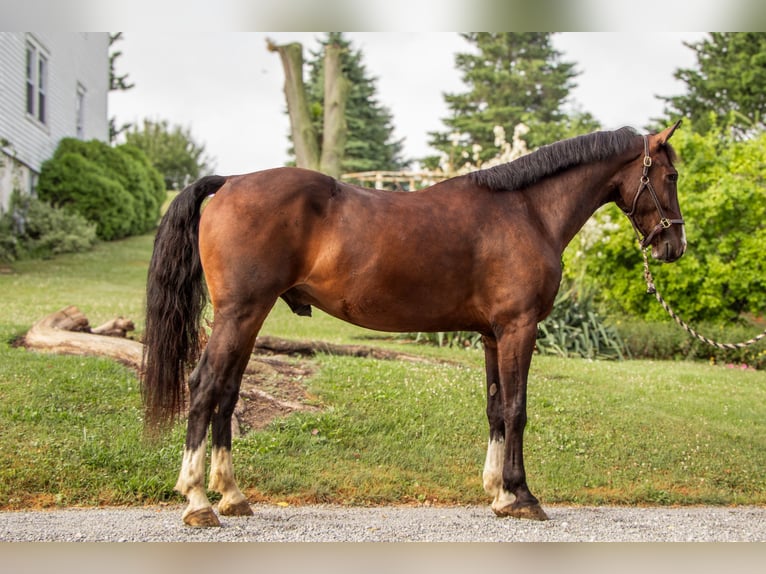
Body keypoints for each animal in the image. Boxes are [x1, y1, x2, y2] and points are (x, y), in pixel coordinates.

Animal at [141, 124, 688, 528]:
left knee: (227, 392)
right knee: (204, 385)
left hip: (249, 317)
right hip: (240, 313)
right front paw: (523, 496)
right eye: (672, 175)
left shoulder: (492, 335)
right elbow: (516, 409)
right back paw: (198, 501)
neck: (527, 211)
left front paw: (498, 495)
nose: (674, 246)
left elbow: (495, 409)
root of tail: (231, 180)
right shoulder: (519, 328)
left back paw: (232, 495)